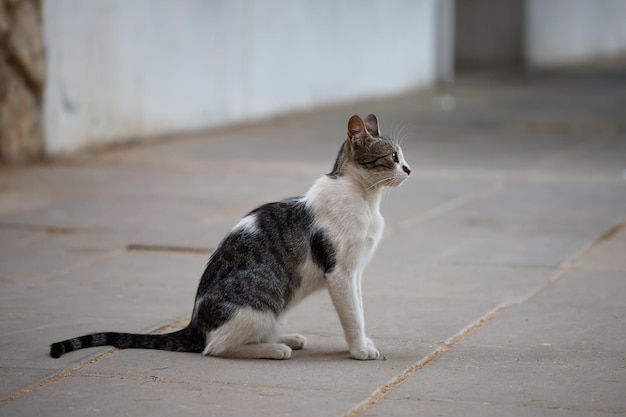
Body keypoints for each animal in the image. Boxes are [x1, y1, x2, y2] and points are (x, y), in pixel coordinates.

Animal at [50, 114, 410, 360]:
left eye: (403, 156)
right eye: (393, 157)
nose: (409, 169)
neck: (365, 198)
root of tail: (195, 322)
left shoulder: (355, 272)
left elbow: (359, 308)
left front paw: (364, 342)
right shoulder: (338, 273)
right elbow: (352, 314)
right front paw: (359, 349)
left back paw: (284, 338)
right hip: (264, 298)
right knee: (216, 347)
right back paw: (274, 349)